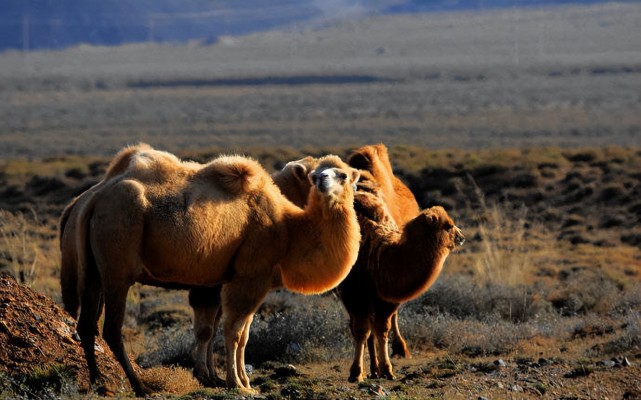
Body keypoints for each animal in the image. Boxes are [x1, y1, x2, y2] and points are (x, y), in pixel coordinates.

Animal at [62, 144, 362, 394]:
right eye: (314, 175)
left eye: (344, 175)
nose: (322, 181)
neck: (287, 227)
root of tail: (91, 199)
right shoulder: (248, 277)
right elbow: (232, 331)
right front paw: (235, 383)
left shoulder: (230, 280)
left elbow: (230, 331)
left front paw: (231, 379)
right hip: (118, 260)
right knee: (111, 328)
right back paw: (139, 386)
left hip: (93, 271)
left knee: (86, 324)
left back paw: (98, 382)